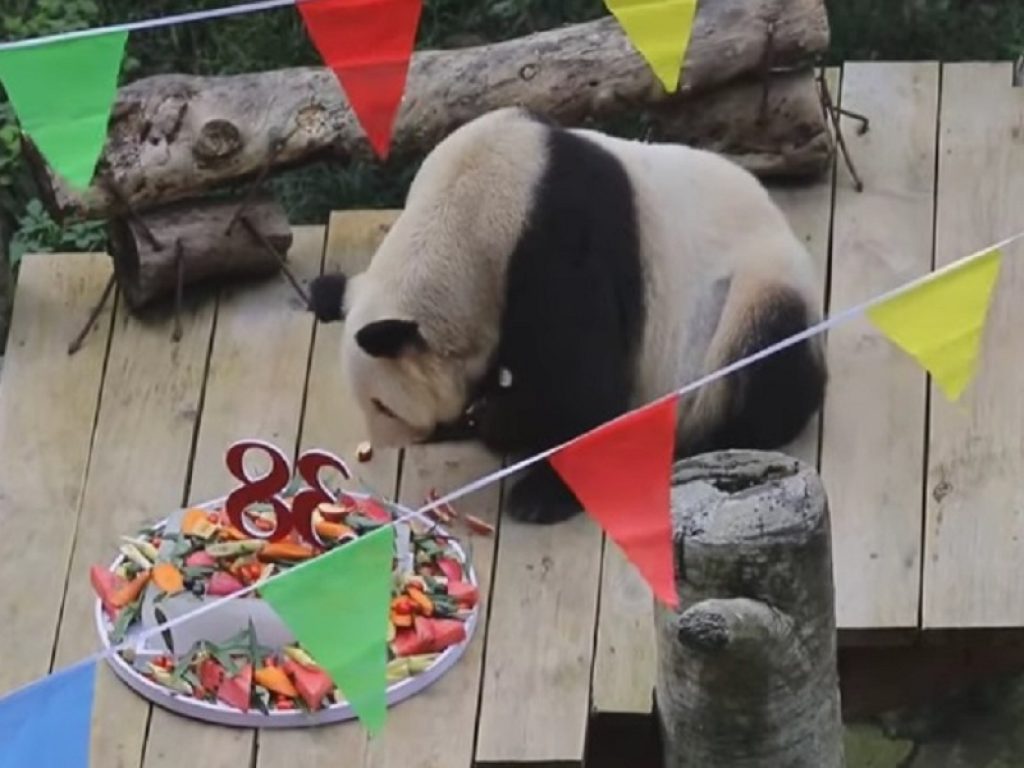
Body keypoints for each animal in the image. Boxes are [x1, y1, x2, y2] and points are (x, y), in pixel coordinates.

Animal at [309, 106, 827, 524]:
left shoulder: (558, 243)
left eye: (383, 405)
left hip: (747, 295)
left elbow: (579, 383)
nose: (387, 442)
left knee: (767, 361)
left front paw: (540, 493)